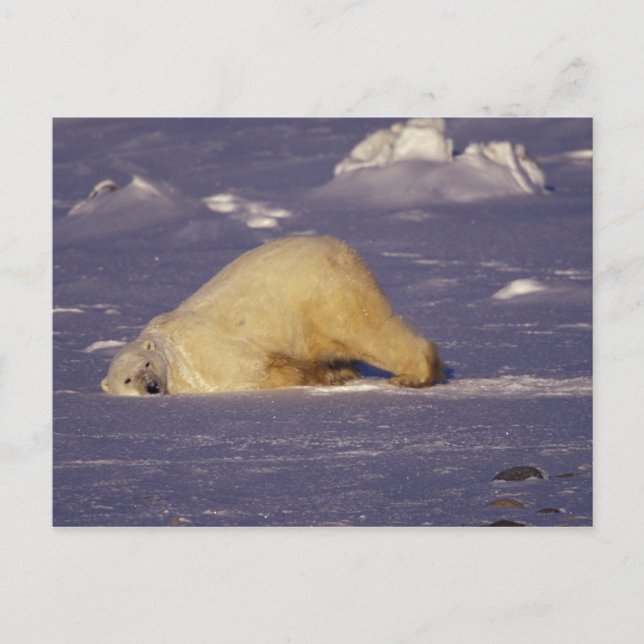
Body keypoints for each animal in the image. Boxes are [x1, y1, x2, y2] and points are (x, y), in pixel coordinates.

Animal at [101, 236, 444, 395]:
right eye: (128, 378)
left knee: (365, 331)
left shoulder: (205, 356)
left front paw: (316, 375)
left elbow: (262, 369)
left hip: (324, 293)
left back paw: (412, 375)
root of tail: (341, 248)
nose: (151, 387)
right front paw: (332, 375)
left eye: (147, 364)